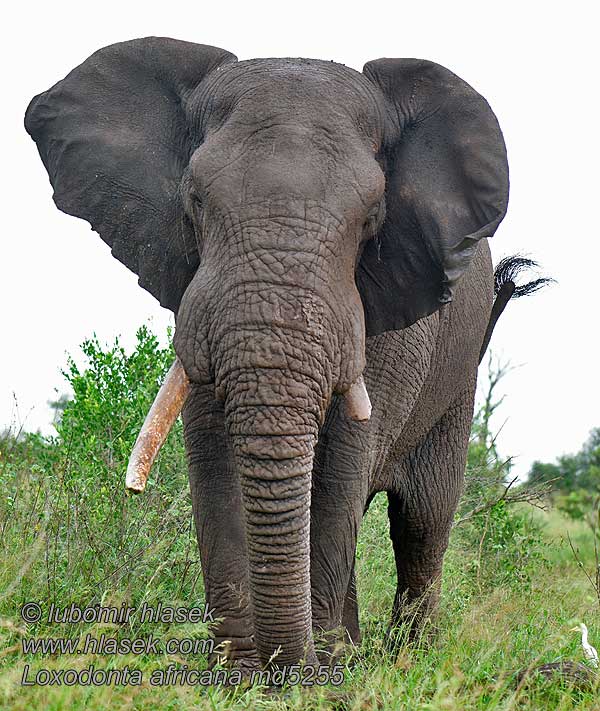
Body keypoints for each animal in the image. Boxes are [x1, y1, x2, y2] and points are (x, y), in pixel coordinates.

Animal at [24, 37, 510, 672]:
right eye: (195, 201)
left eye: (373, 218)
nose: (285, 666)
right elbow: (214, 460)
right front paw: (244, 673)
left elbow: (341, 469)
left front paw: (311, 675)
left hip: (460, 376)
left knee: (421, 520)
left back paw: (404, 658)